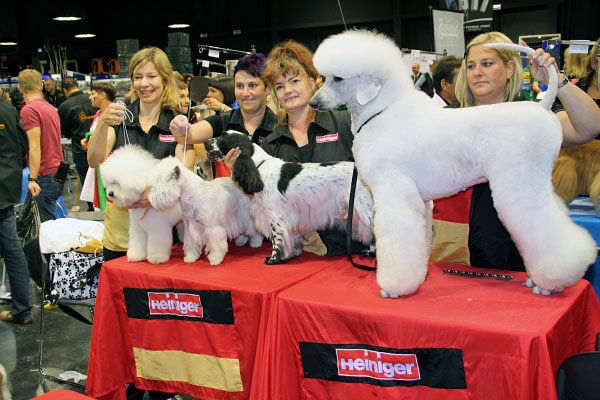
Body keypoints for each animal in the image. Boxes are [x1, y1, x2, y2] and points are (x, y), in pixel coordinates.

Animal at [206, 130, 376, 264]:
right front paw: (292, 254)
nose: (206, 141)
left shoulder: (275, 215)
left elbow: (277, 238)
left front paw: (274, 259)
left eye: (221, 139)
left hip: (363, 208)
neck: (259, 166)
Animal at [310, 28, 596, 296]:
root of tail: (542, 106)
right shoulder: (420, 201)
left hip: (520, 183)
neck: (381, 111)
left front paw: (394, 287)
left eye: (338, 78)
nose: (314, 102)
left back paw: (552, 281)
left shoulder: (394, 194)